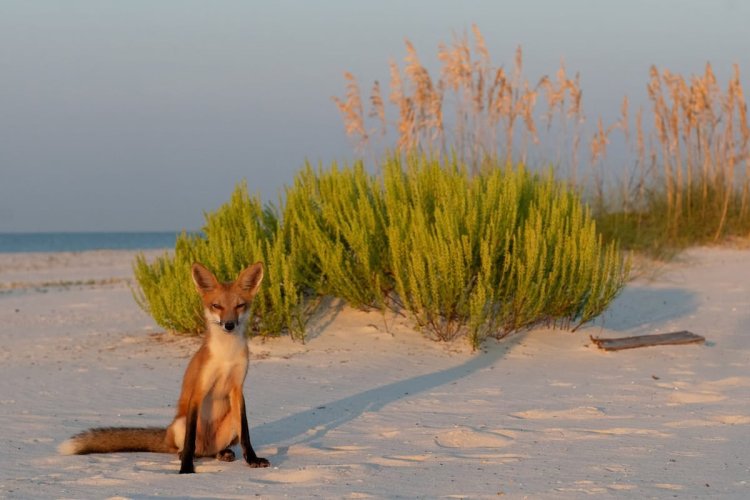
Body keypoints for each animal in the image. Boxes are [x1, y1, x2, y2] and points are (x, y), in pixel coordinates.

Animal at [58, 261, 270, 474]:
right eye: (217, 306)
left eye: (239, 305)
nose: (229, 325)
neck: (226, 356)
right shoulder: (198, 390)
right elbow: (190, 441)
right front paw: (186, 468)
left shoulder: (237, 389)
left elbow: (246, 434)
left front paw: (252, 459)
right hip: (180, 424)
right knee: (188, 448)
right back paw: (186, 456)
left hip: (229, 423)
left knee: (213, 450)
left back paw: (223, 453)